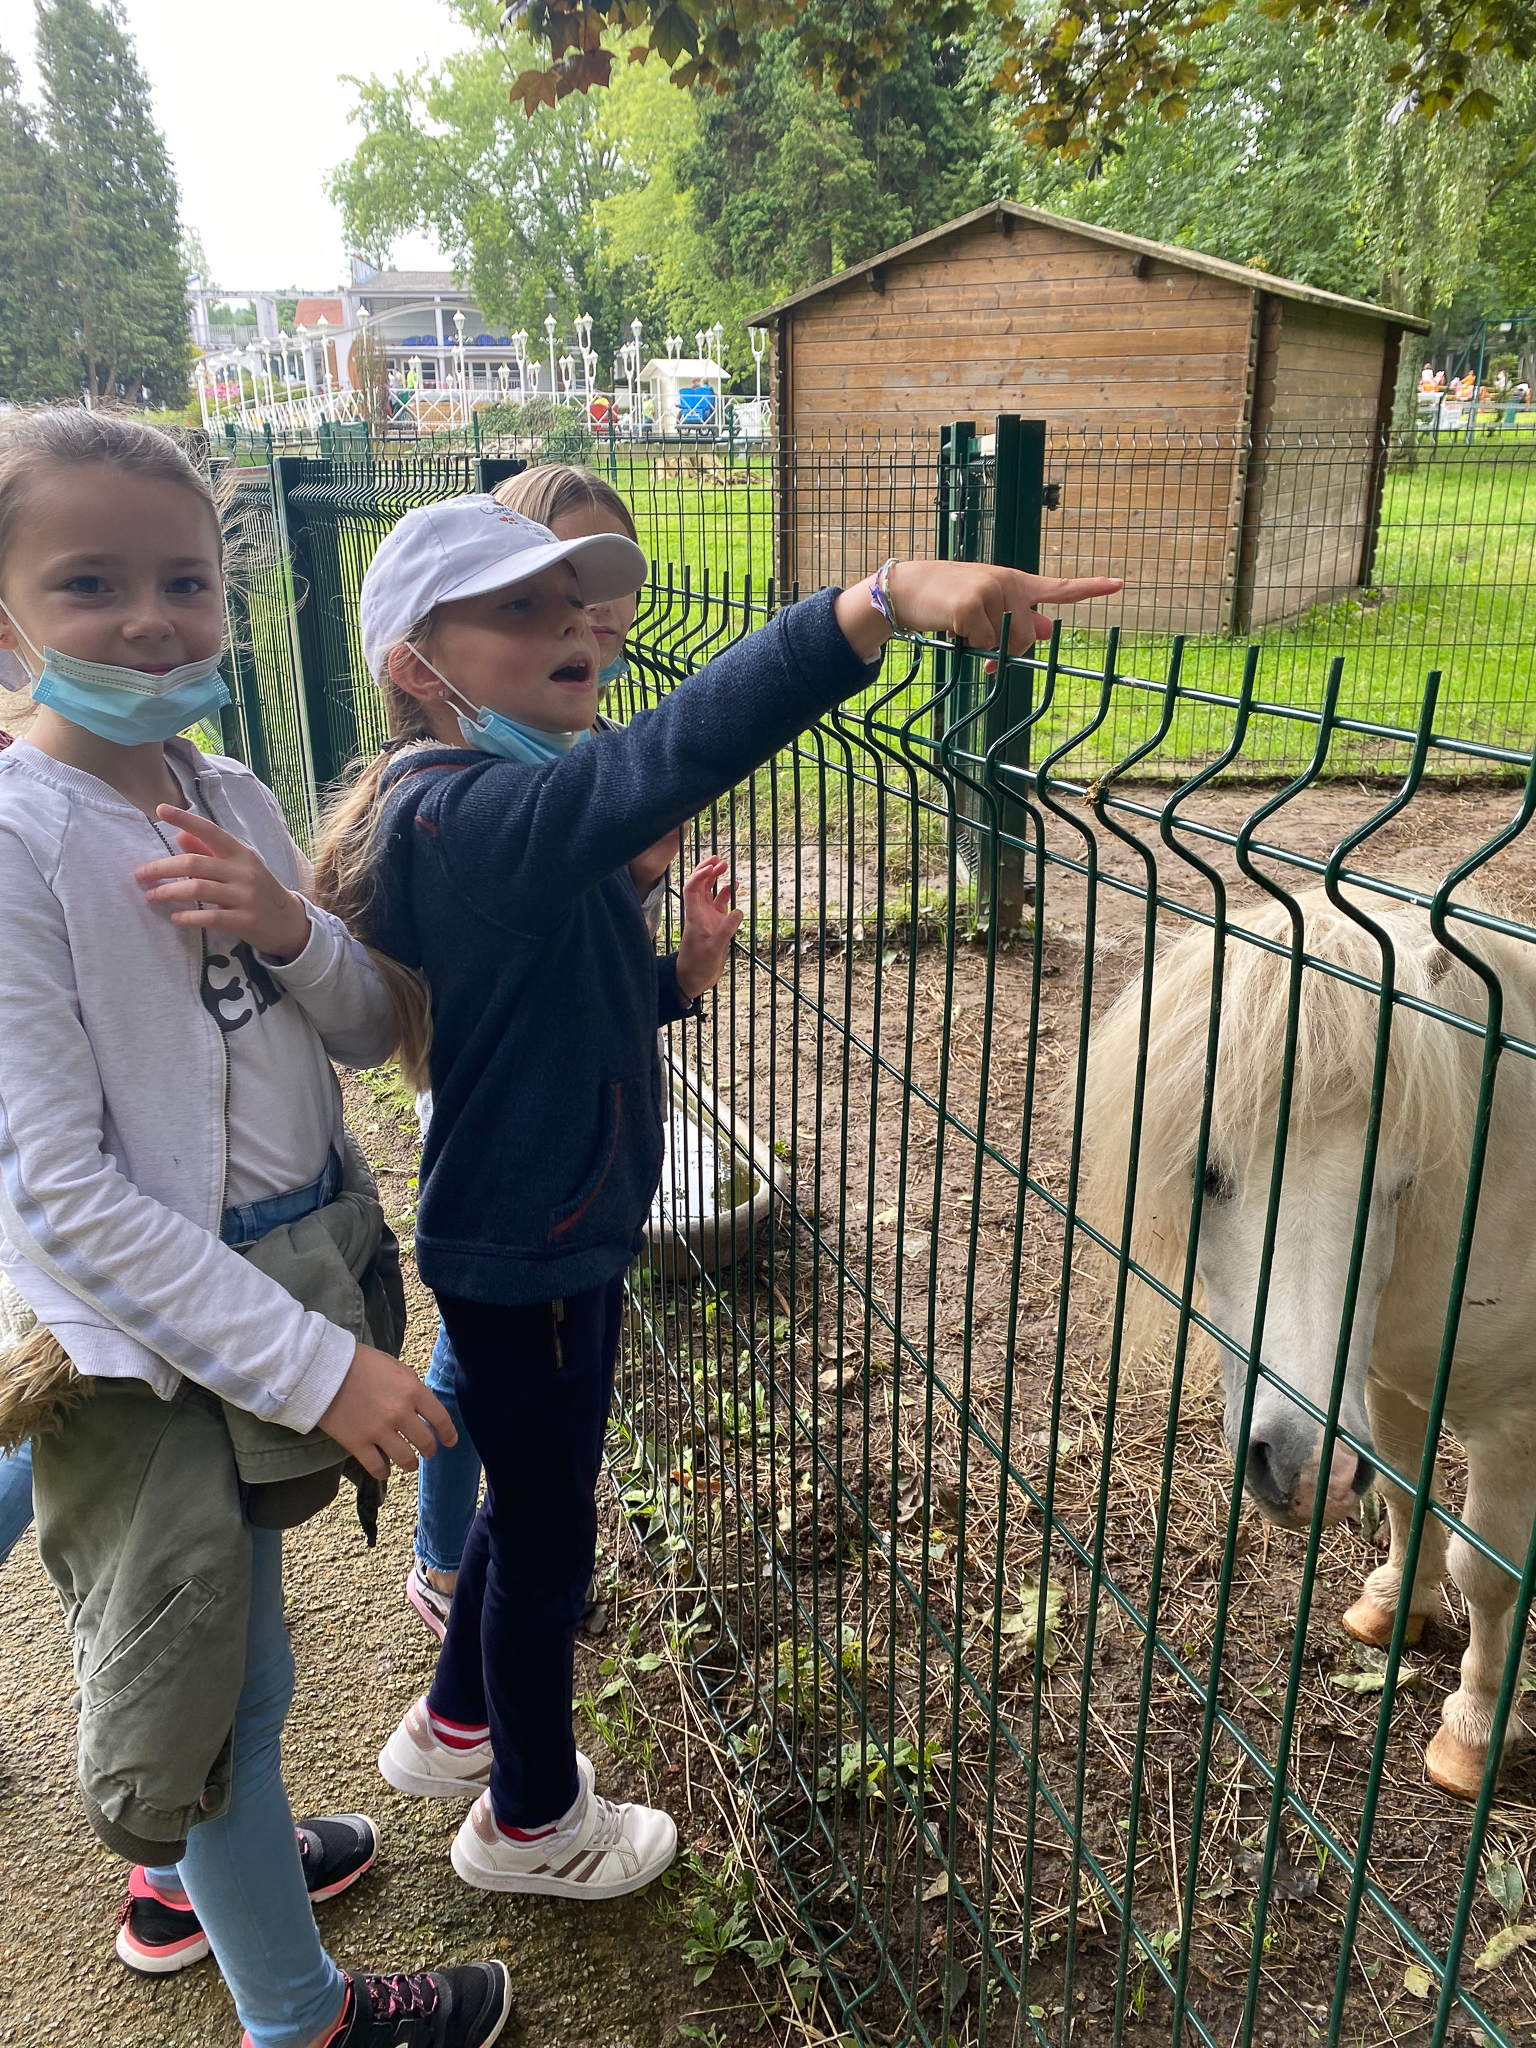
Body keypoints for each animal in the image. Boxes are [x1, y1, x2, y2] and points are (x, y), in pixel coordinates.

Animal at [1077, 888, 1536, 1799]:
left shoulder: (1511, 1427)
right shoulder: (1387, 1385)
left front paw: (1474, 1729)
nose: (1303, 1467)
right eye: (1206, 1172)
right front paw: (1395, 1603)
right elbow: (1402, 1497)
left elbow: (1489, 1573)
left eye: (1395, 1183)